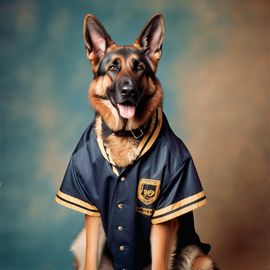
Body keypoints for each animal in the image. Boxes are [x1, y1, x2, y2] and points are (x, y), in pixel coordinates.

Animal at [68, 14, 216, 270]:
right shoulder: (93, 216)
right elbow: (90, 262)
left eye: (139, 68)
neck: (125, 135)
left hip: (199, 257)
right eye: (113, 67)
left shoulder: (163, 220)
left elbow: (159, 262)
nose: (128, 91)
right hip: (81, 240)